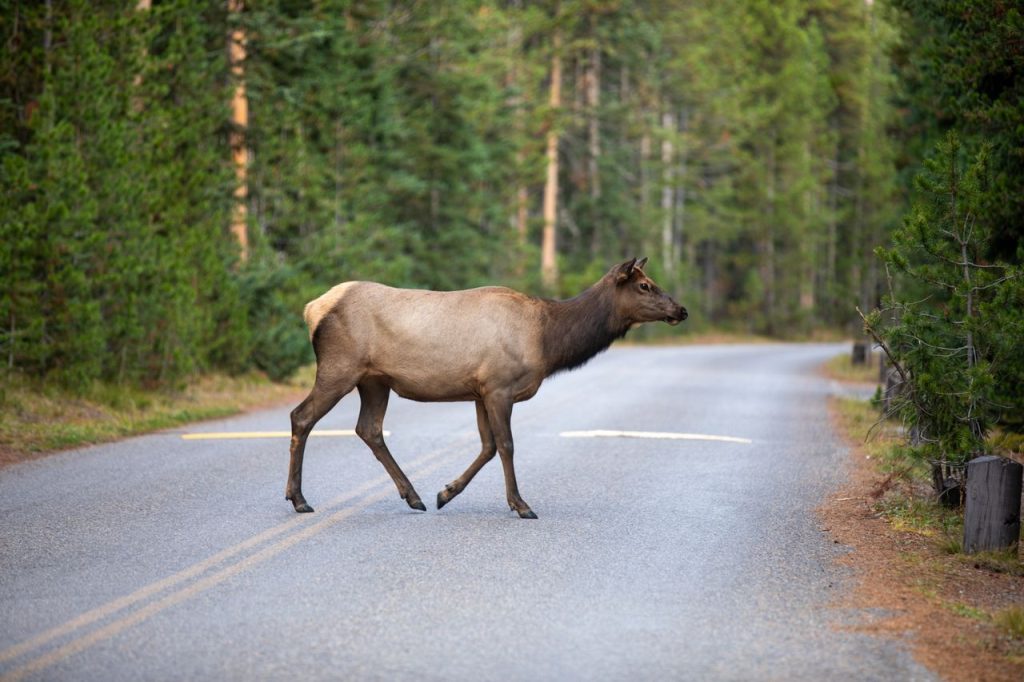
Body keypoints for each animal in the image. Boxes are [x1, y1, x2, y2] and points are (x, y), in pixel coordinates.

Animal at [286, 257, 687, 519]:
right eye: (645, 285)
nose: (681, 310)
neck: (548, 342)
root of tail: (311, 309)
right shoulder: (499, 386)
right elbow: (506, 445)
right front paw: (521, 505)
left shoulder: (480, 391)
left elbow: (488, 446)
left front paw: (445, 492)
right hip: (340, 368)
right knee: (301, 416)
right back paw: (299, 498)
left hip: (374, 381)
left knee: (368, 429)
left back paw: (413, 495)